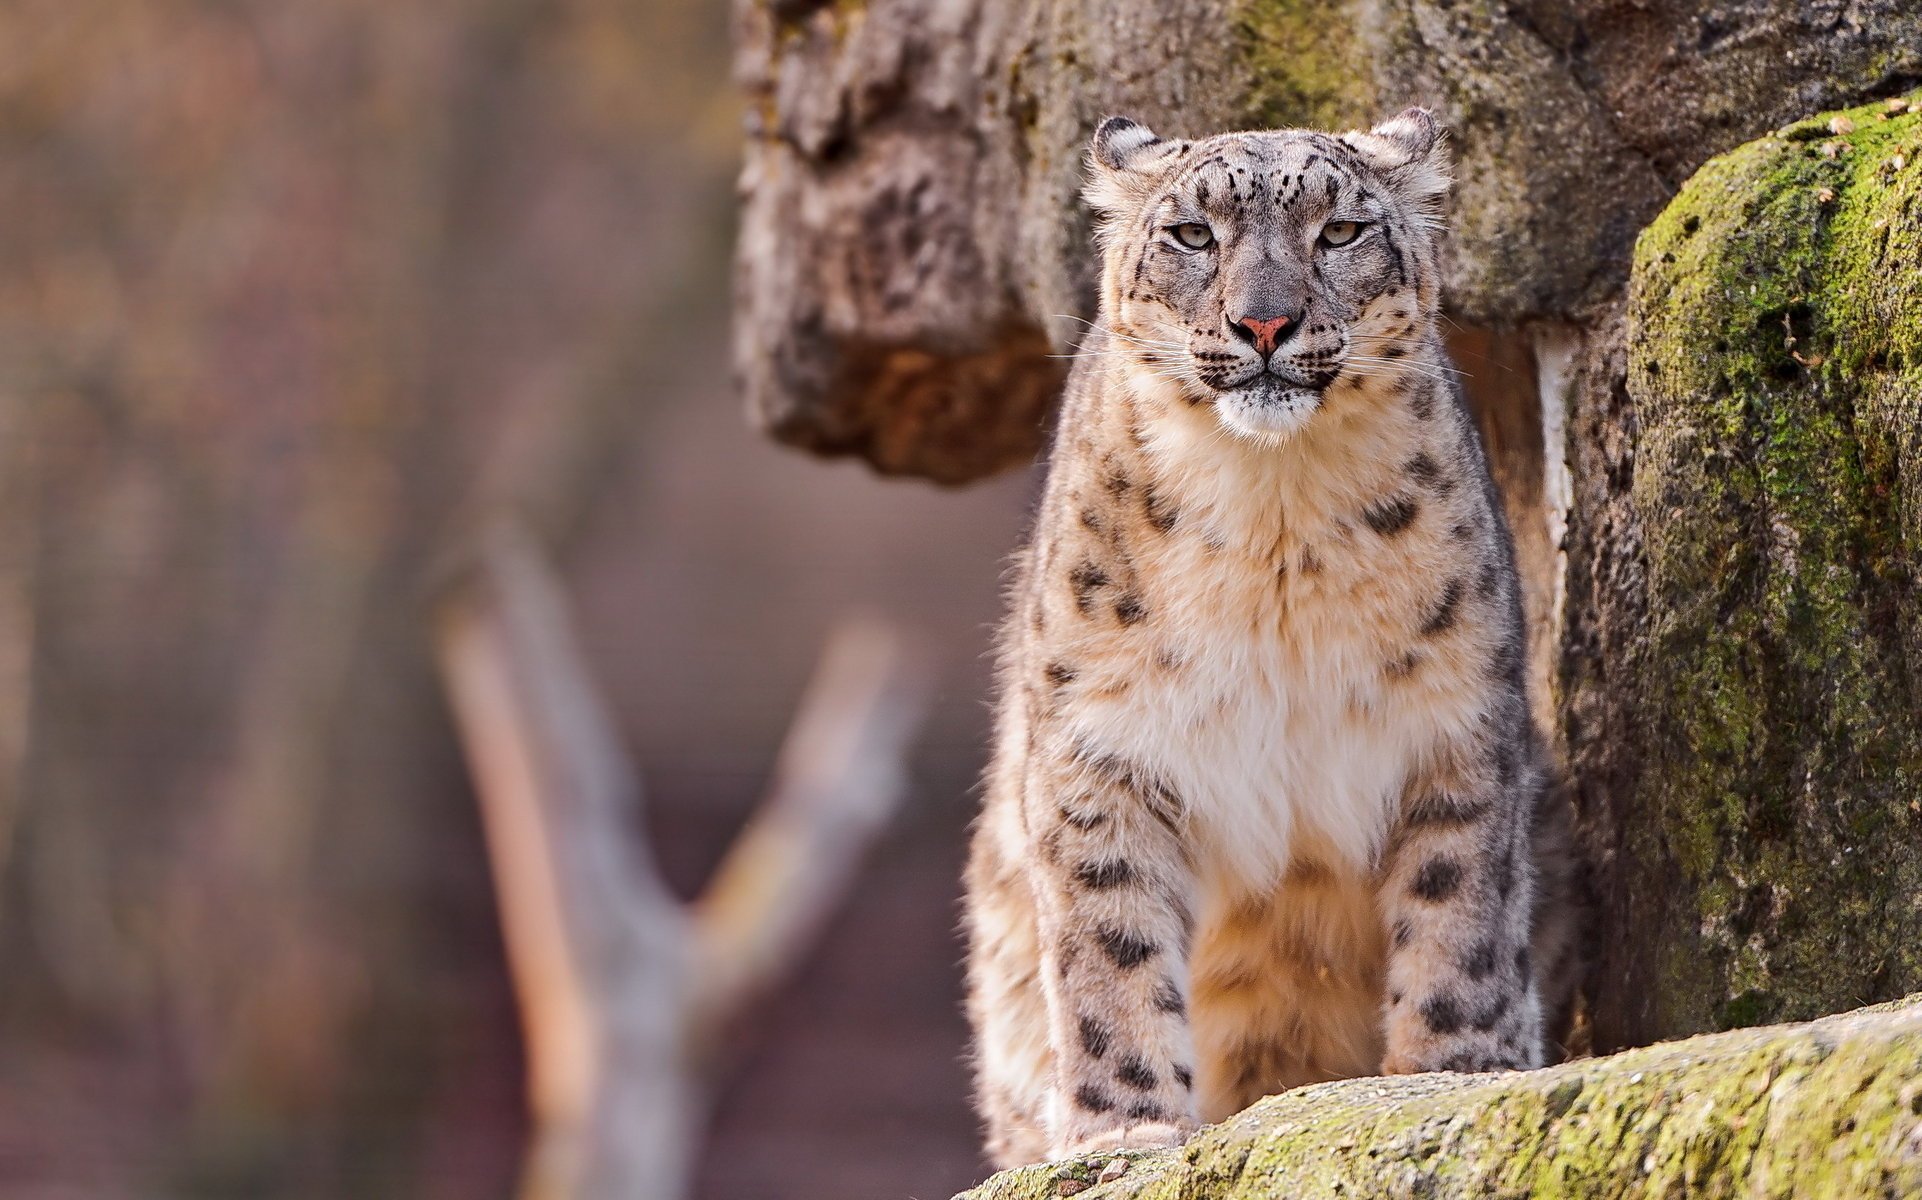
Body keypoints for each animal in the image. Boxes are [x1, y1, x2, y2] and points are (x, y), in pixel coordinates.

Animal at [962, 108, 1579, 1167]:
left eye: (1340, 231)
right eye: (1191, 235)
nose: (1264, 324)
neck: (1273, 522)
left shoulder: (1455, 725)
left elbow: (1459, 905)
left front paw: (1457, 1071)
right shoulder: (1099, 749)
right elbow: (1108, 945)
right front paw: (1124, 1128)